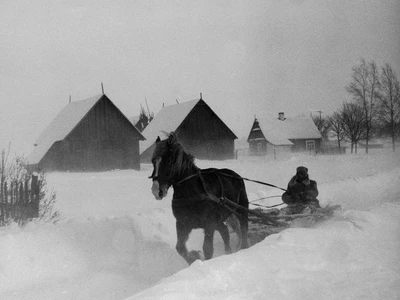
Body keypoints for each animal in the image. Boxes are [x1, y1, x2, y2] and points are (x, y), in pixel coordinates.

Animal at [148, 132, 248, 264]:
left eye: (168, 160)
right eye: (153, 161)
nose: (156, 191)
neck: (192, 191)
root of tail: (235, 175)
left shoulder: (209, 224)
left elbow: (207, 249)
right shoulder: (182, 224)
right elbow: (180, 248)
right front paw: (194, 257)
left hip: (241, 209)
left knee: (243, 229)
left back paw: (243, 247)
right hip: (219, 220)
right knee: (225, 231)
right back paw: (228, 252)